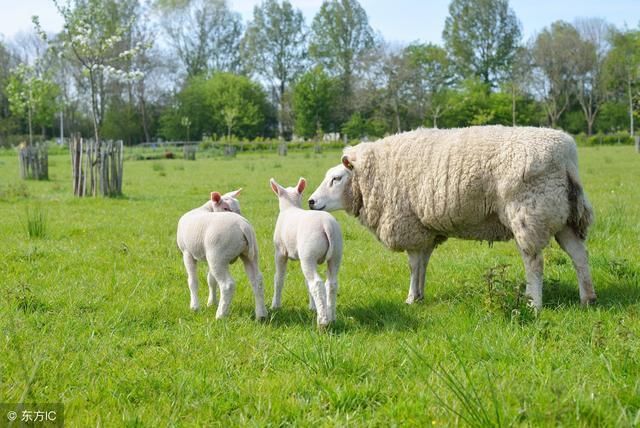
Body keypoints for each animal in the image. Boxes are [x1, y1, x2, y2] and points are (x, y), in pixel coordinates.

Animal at [176, 190, 266, 318]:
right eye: (225, 208)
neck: (206, 209)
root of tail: (243, 226)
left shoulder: (187, 253)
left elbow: (193, 281)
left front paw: (194, 307)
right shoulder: (207, 256)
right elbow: (211, 280)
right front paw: (211, 303)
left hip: (218, 255)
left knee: (227, 285)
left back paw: (220, 315)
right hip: (248, 255)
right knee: (257, 280)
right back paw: (261, 314)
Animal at [268, 176, 342, 324]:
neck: (290, 207)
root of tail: (326, 225)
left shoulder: (280, 252)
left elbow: (279, 278)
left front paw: (275, 305)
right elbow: (306, 283)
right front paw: (312, 307)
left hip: (309, 254)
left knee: (316, 284)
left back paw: (323, 321)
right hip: (335, 253)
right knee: (331, 284)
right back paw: (331, 317)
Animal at [308, 125, 596, 310]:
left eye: (336, 178)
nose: (311, 202)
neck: (372, 175)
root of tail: (567, 155)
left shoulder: (408, 224)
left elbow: (413, 265)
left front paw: (411, 298)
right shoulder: (424, 229)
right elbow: (422, 264)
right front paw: (420, 295)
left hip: (529, 212)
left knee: (534, 262)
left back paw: (533, 303)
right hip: (562, 215)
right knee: (579, 255)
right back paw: (587, 299)